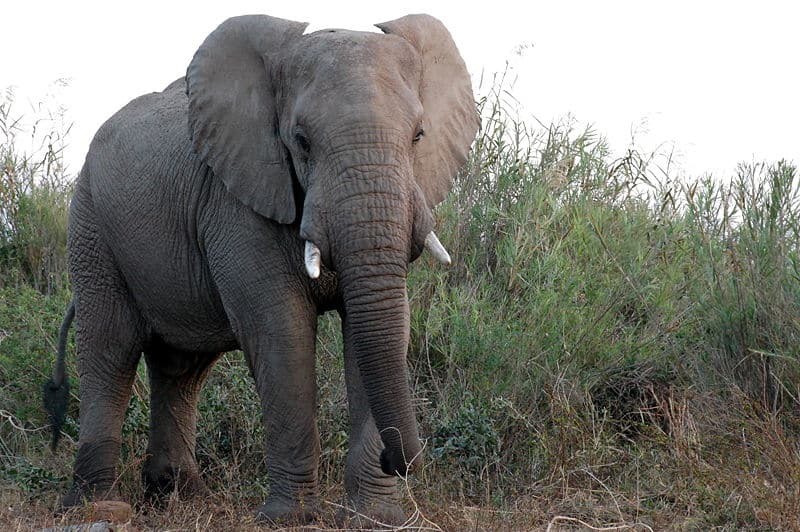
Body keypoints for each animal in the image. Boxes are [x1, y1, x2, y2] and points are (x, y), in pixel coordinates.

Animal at [43, 12, 478, 528]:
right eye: (301, 141)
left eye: (418, 136)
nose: (405, 462)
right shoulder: (236, 204)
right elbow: (280, 332)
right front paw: (288, 518)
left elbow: (377, 330)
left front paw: (377, 517)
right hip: (91, 228)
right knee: (110, 351)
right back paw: (100, 505)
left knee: (181, 368)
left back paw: (182, 498)